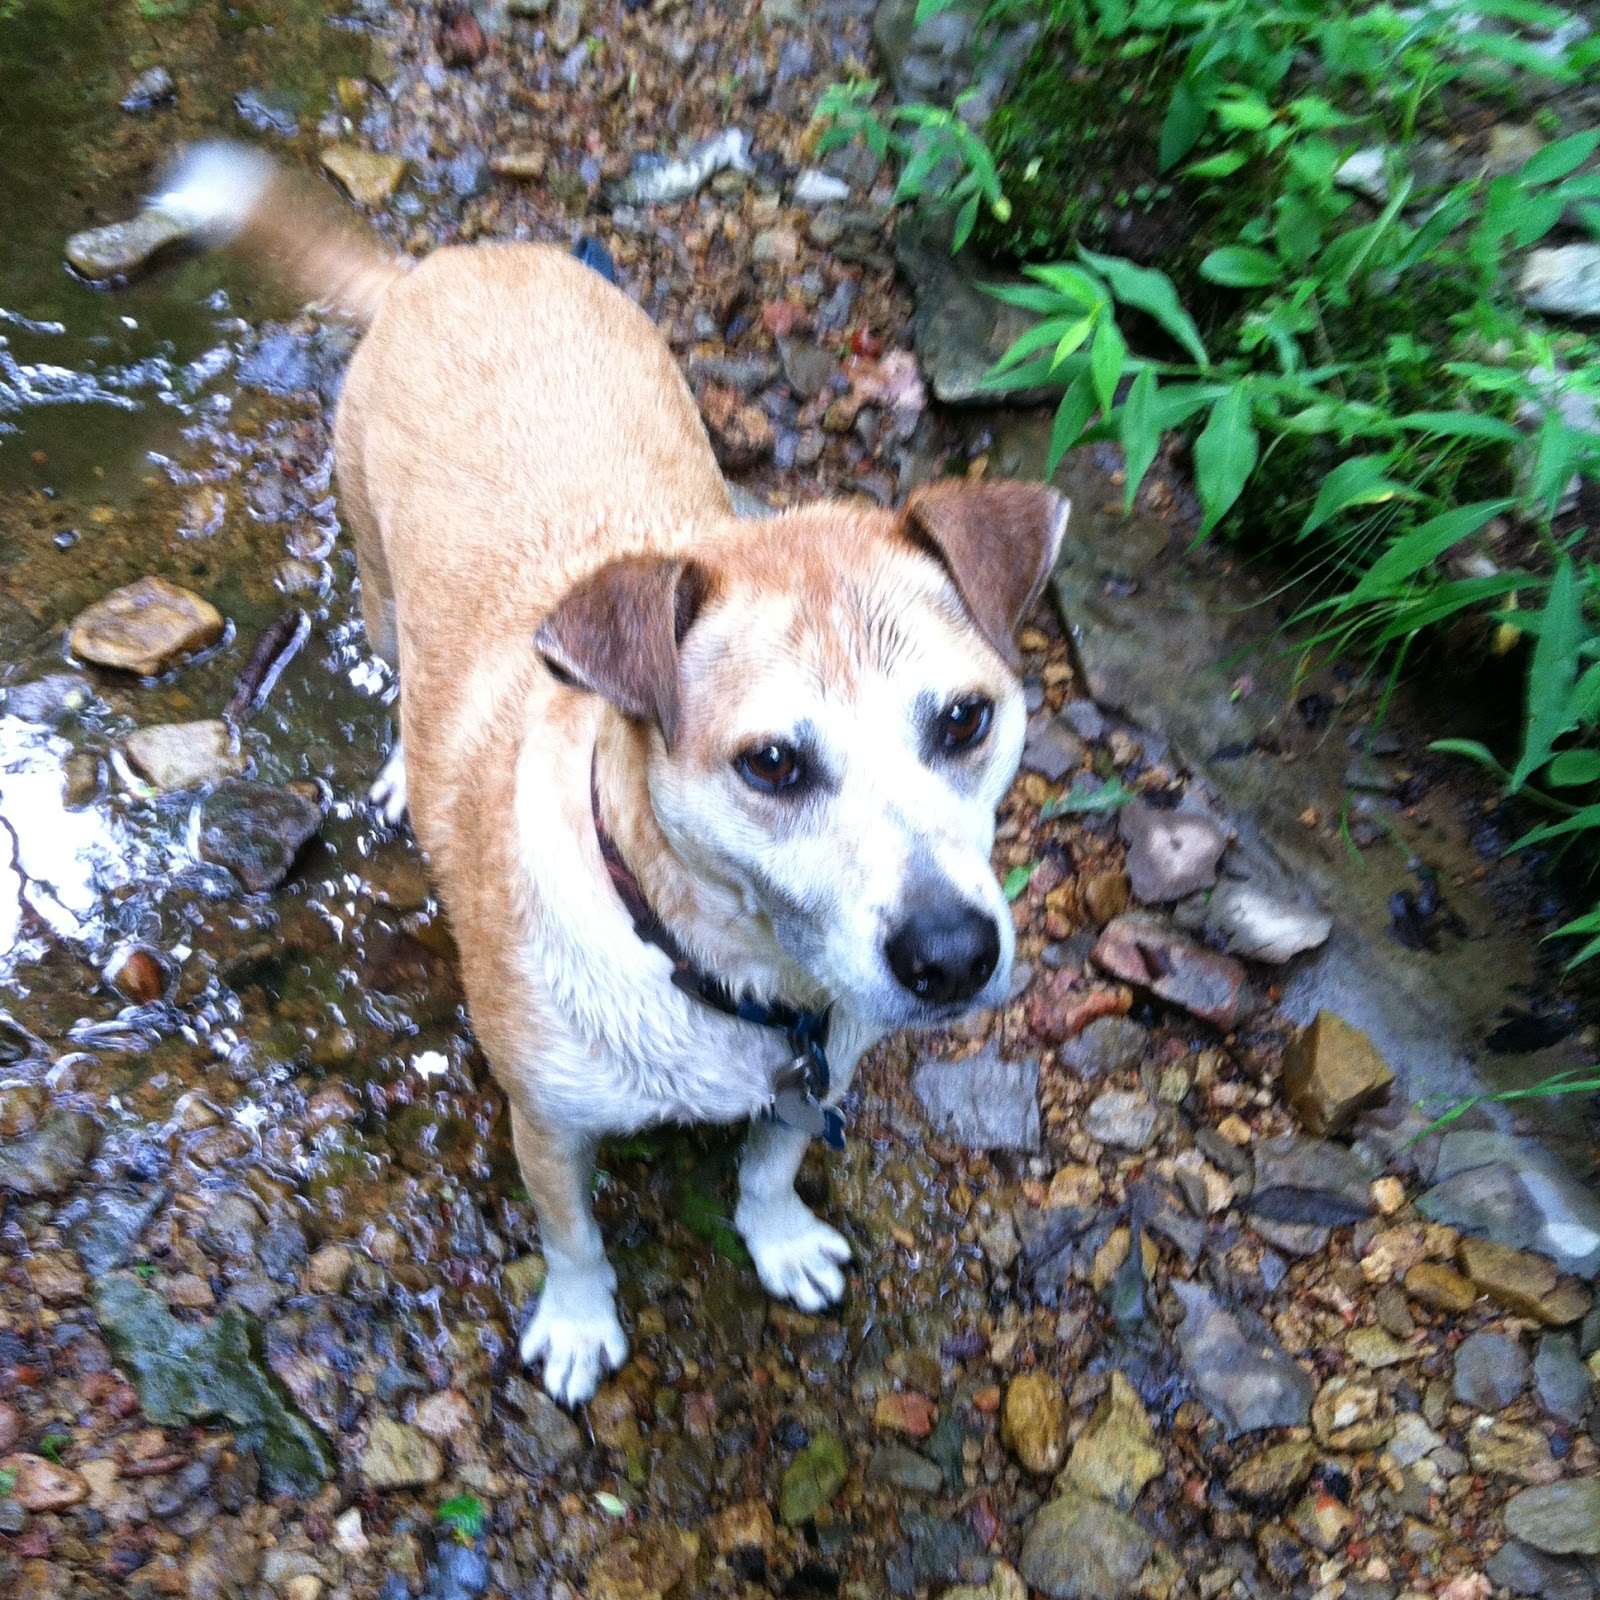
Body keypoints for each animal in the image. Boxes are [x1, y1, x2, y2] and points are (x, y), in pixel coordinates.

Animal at [158, 143, 1069, 1405]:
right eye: (772, 763)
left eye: (966, 719)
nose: (951, 957)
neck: (716, 968)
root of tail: (451, 266)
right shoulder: (544, 1119)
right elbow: (573, 1235)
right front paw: (580, 1321)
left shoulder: (814, 1076)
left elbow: (767, 1166)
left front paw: (779, 1239)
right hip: (376, 571)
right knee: (392, 662)